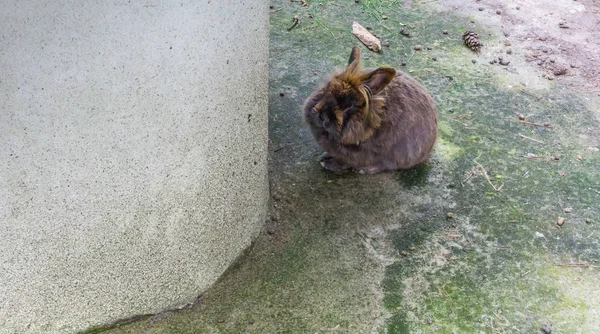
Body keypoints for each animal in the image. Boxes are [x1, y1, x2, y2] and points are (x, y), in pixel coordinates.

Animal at [304, 46, 436, 175]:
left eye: (349, 105)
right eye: (326, 90)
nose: (322, 116)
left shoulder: (358, 155)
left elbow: (346, 162)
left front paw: (330, 164)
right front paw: (325, 155)